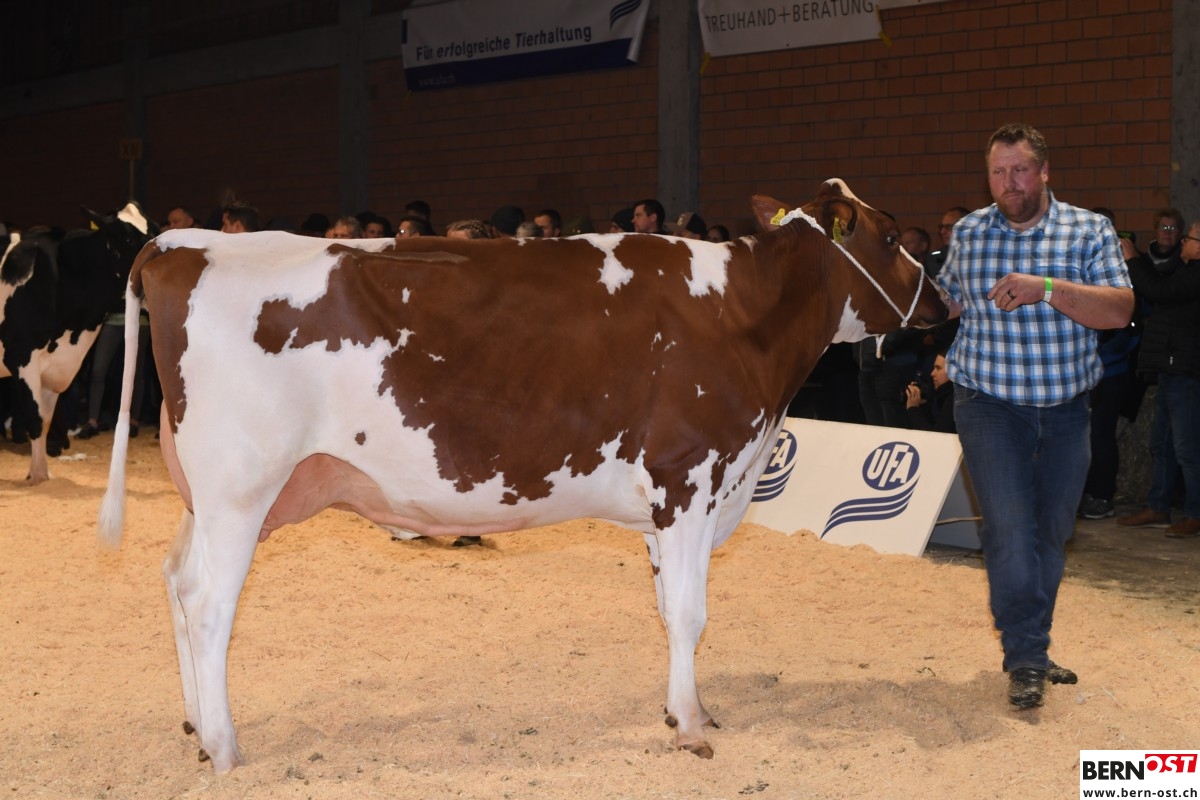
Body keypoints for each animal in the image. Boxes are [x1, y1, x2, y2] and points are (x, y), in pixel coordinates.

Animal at [0, 202, 158, 482]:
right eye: (127, 238)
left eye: (156, 229)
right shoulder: (22, 359)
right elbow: (35, 420)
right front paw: (37, 477)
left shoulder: (57, 367)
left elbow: (46, 419)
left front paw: (41, 474)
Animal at [98, 179, 947, 772]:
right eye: (887, 234)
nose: (945, 301)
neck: (742, 317)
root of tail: (178, 243)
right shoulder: (690, 479)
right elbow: (690, 614)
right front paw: (691, 727)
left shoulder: (680, 502)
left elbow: (668, 609)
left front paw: (688, 711)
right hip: (242, 486)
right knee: (209, 603)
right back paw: (225, 745)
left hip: (206, 494)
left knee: (176, 579)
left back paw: (195, 725)